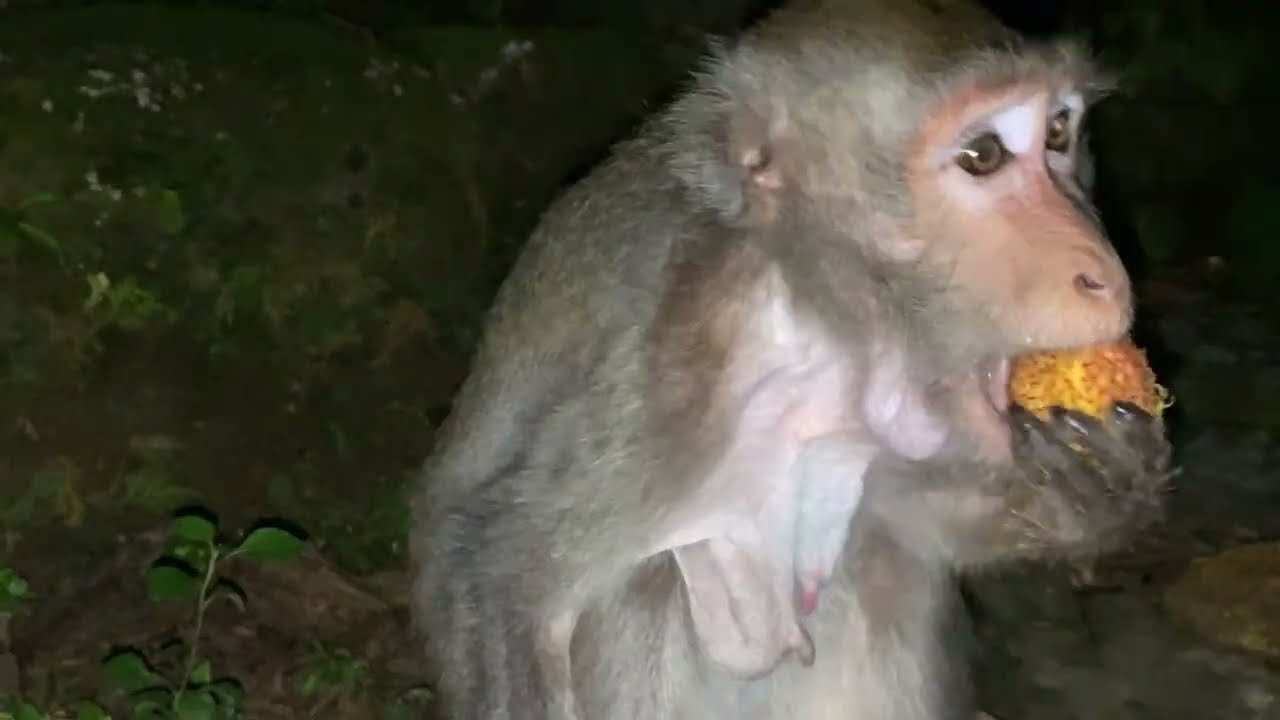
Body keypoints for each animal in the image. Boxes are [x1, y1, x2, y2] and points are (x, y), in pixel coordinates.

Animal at [408, 0, 1175, 718]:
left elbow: (916, 519)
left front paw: (1100, 488)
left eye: (1058, 133)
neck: (825, 317)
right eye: (983, 154)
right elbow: (508, 574)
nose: (1104, 272)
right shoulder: (687, 352)